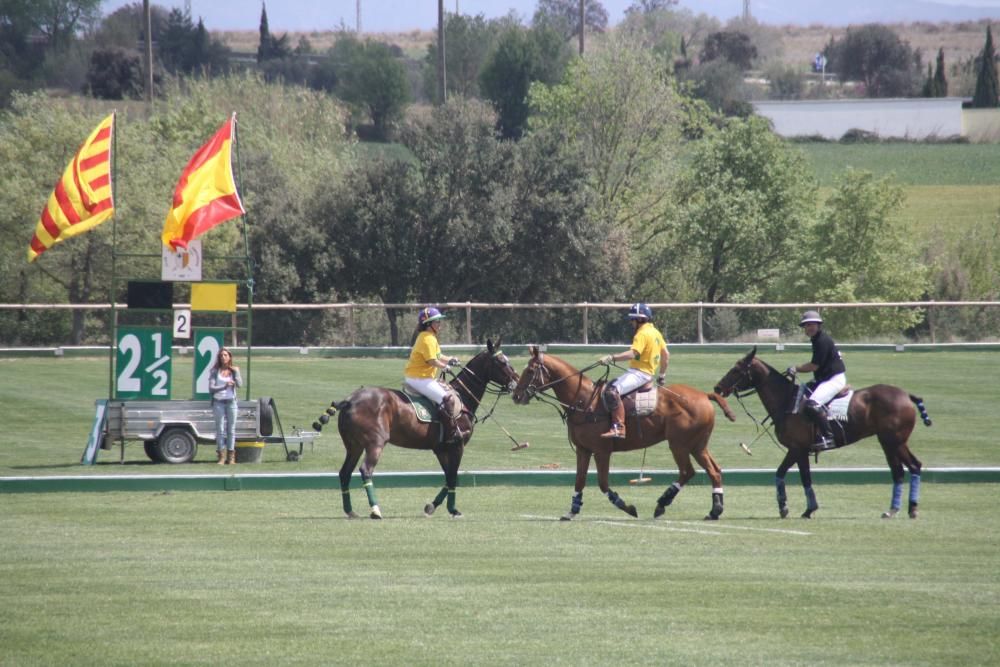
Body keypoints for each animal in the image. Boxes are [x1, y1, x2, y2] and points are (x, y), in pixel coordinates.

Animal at [312, 340, 520, 520]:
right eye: (502, 362)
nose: (517, 383)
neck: (463, 397)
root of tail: (349, 400)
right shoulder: (457, 445)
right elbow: (453, 477)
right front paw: (453, 510)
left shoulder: (441, 449)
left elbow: (448, 477)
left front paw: (431, 506)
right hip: (375, 443)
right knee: (366, 470)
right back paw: (375, 510)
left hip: (353, 446)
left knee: (344, 473)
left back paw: (351, 511)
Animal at [516, 348, 736, 524]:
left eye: (530, 371)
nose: (516, 395)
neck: (584, 401)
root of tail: (704, 395)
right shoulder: (583, 449)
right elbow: (579, 480)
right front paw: (571, 511)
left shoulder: (601, 450)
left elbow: (603, 483)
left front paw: (628, 507)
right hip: (698, 444)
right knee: (714, 471)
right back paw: (714, 511)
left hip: (679, 444)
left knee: (687, 471)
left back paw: (662, 504)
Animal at [712, 350, 928, 520]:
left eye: (737, 369)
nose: (717, 388)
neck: (786, 401)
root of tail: (907, 396)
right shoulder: (796, 450)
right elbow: (783, 474)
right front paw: (787, 507)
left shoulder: (798, 449)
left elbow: (803, 478)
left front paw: (805, 509)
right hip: (890, 442)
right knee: (904, 469)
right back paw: (900, 509)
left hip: (893, 441)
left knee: (908, 467)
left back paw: (905, 509)